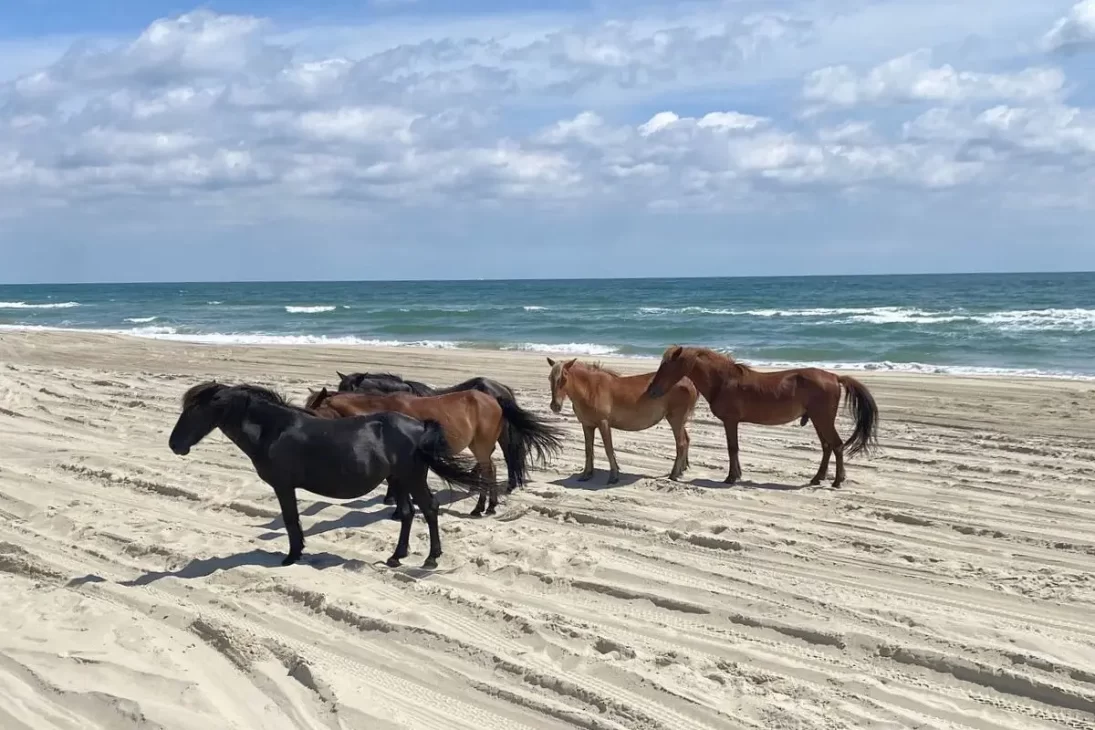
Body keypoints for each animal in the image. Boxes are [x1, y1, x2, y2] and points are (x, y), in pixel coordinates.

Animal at [167, 382, 491, 569]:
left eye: (194, 410)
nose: (174, 445)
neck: (273, 430)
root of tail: (420, 426)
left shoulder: (283, 486)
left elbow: (291, 519)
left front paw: (292, 556)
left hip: (411, 478)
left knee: (429, 509)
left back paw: (431, 558)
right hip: (400, 480)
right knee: (409, 513)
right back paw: (396, 557)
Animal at [305, 386, 563, 517]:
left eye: (312, 411)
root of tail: (494, 399)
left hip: (481, 446)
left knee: (488, 471)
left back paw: (482, 508)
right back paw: (487, 507)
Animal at [546, 357, 699, 484]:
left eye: (564, 377)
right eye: (550, 378)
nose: (555, 406)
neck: (590, 389)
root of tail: (688, 382)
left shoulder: (603, 423)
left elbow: (608, 449)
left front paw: (614, 476)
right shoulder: (587, 425)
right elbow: (588, 450)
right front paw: (586, 475)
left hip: (676, 419)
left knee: (681, 443)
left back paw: (674, 474)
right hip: (678, 420)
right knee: (686, 440)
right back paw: (681, 471)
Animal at [645, 346, 879, 488]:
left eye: (667, 366)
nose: (652, 391)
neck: (724, 381)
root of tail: (834, 376)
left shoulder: (730, 421)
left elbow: (732, 448)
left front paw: (731, 477)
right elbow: (734, 449)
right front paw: (736, 475)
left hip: (822, 419)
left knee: (836, 445)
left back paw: (837, 481)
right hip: (818, 419)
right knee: (827, 447)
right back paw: (817, 478)